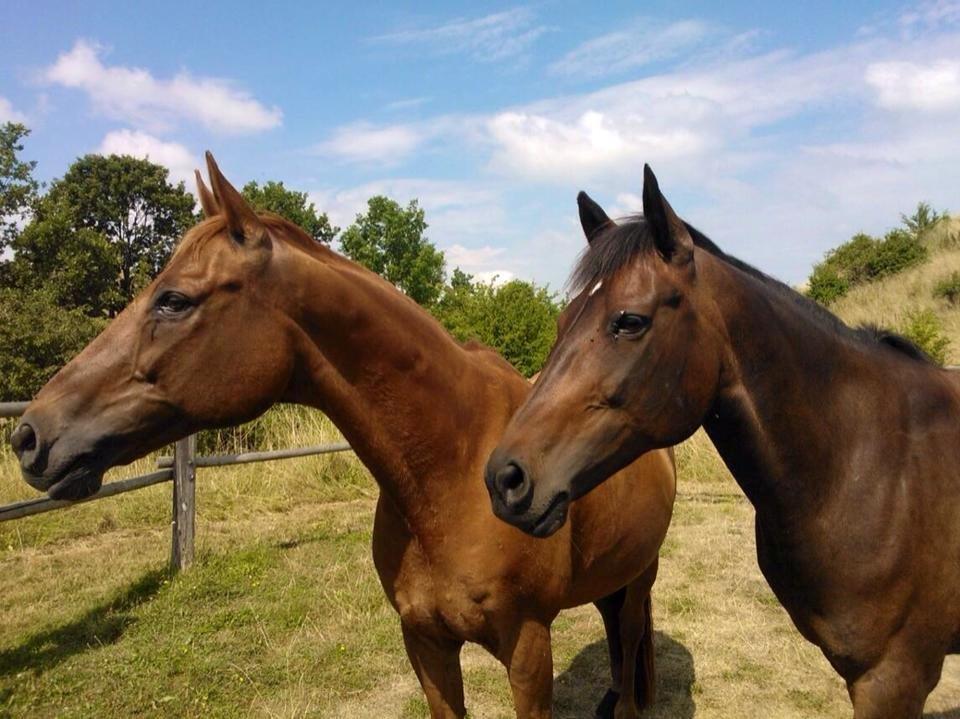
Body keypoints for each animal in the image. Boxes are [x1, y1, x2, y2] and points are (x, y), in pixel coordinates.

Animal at [11, 155, 680, 716]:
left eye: (173, 300)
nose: (29, 436)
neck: (452, 471)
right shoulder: (425, 644)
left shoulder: (527, 649)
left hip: (641, 576)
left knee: (629, 636)